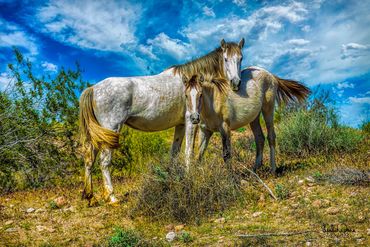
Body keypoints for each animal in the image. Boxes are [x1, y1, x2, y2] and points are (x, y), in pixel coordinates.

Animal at [79, 38, 244, 205]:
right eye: (225, 59)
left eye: (240, 58)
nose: (236, 82)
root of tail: (93, 88)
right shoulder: (190, 121)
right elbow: (188, 152)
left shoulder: (181, 125)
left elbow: (174, 153)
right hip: (110, 130)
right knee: (104, 161)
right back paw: (112, 196)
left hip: (97, 134)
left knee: (89, 159)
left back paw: (89, 195)